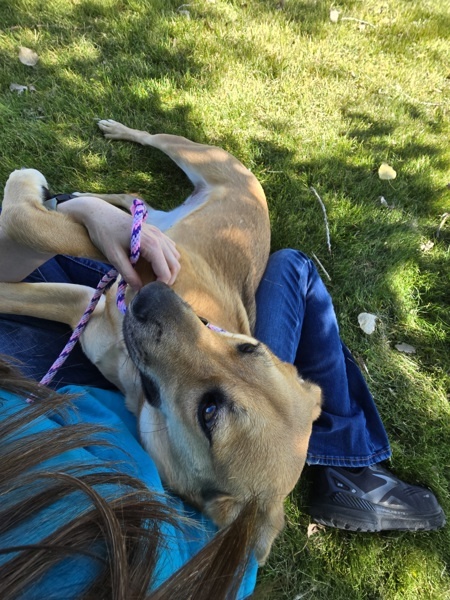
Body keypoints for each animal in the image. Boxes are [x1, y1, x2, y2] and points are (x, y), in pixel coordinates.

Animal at [0, 119, 320, 564]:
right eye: (249, 347)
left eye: (209, 412)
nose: (154, 296)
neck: (133, 376)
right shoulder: (117, 279)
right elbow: (50, 235)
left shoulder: (85, 305)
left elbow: (30, 226)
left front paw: (29, 187)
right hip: (191, 155)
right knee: (142, 171)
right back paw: (103, 156)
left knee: (133, 203)